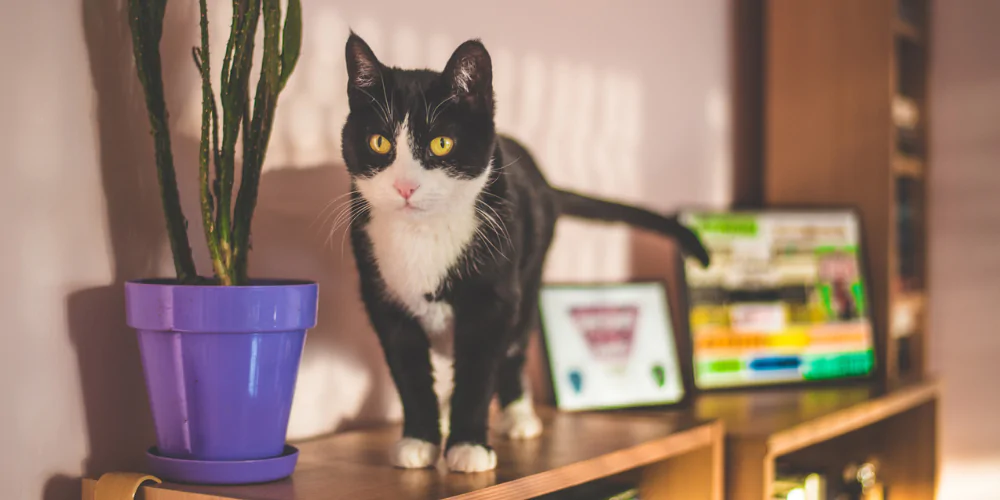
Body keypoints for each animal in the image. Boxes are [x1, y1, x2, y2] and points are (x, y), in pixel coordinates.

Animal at [344, 32, 712, 472]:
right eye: (379, 141)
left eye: (442, 143)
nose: (405, 187)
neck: (422, 236)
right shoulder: (383, 299)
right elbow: (409, 372)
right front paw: (419, 439)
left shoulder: (494, 298)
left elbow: (479, 368)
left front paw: (468, 444)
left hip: (530, 270)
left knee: (514, 346)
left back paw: (517, 415)